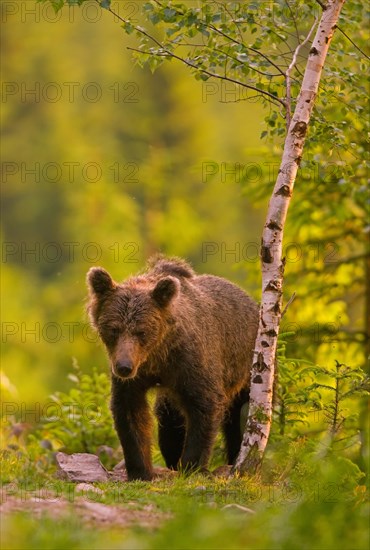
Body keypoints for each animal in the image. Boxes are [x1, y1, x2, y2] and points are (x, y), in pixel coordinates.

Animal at [87, 256, 260, 480]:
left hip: (247, 365)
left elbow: (204, 406)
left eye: (141, 331)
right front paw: (141, 470)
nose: (124, 367)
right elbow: (131, 410)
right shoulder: (136, 377)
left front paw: (192, 466)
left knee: (241, 412)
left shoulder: (190, 363)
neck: (158, 356)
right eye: (114, 329)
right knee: (169, 423)